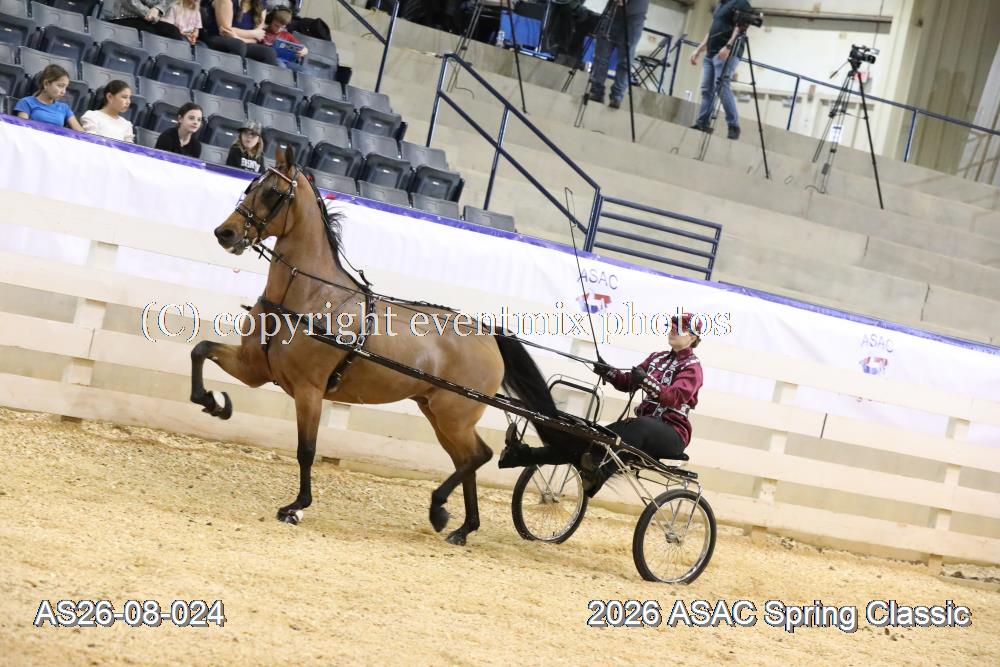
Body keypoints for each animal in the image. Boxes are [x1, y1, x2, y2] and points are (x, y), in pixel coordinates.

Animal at [189, 146, 577, 545]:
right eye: (251, 185)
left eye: (271, 192)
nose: (225, 232)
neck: (309, 295)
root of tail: (486, 334)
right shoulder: (253, 368)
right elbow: (200, 350)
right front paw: (214, 403)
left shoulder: (308, 390)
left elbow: (306, 450)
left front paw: (296, 507)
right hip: (437, 413)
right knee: (470, 459)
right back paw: (462, 526)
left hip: (453, 415)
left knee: (476, 457)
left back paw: (441, 510)